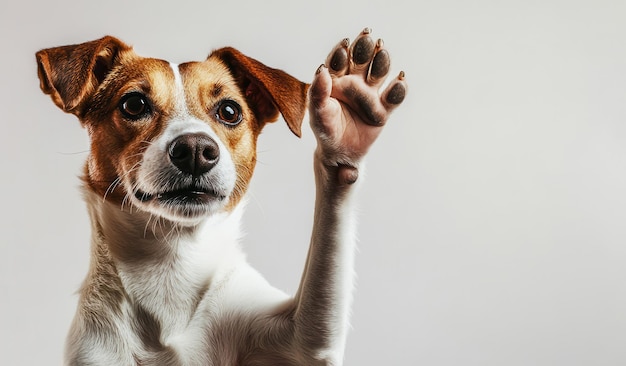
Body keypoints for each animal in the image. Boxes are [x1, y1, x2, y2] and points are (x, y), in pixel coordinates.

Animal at [36, 29, 404, 366]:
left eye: (229, 110)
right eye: (134, 104)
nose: (195, 150)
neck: (173, 257)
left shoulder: (300, 341)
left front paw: (344, 123)